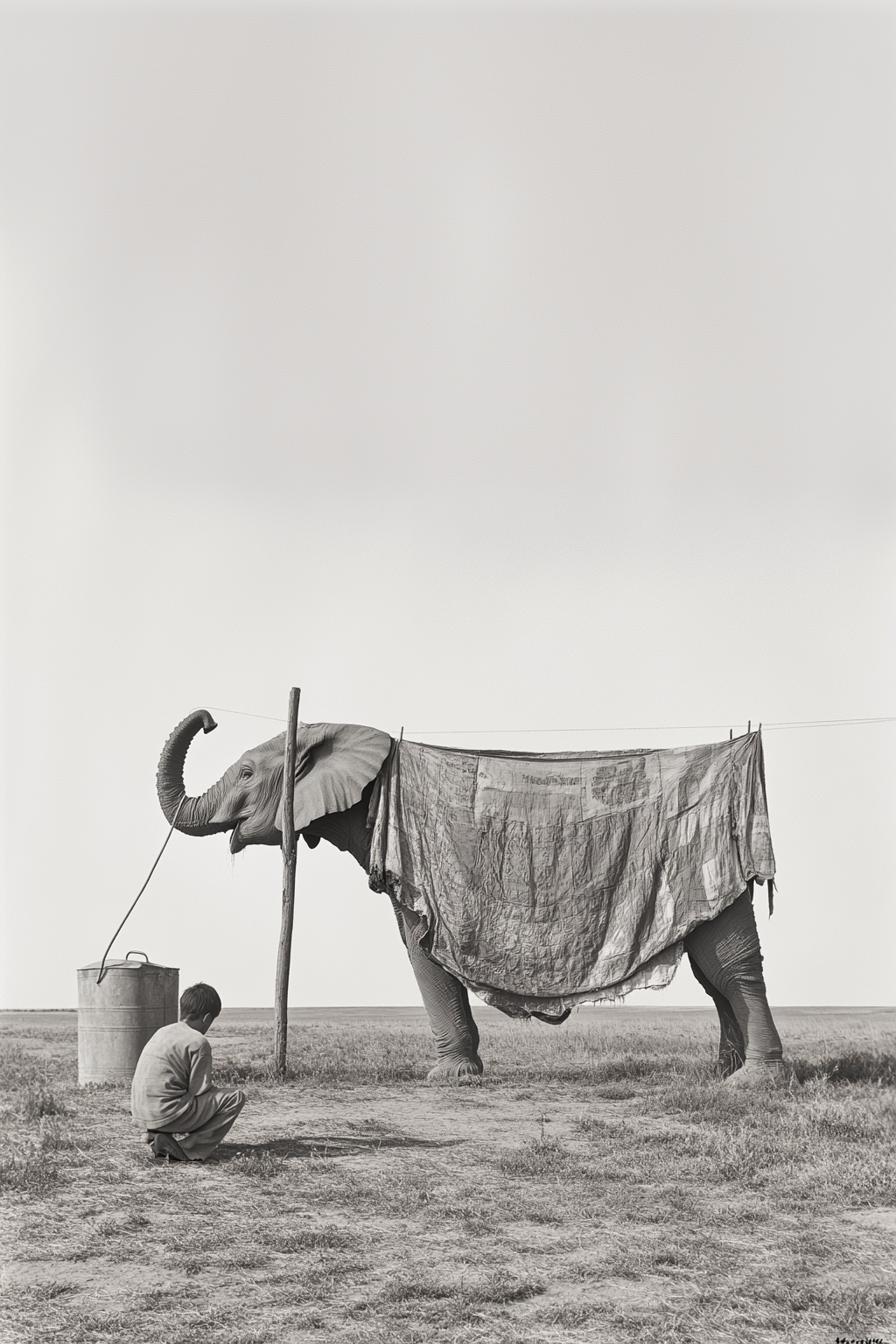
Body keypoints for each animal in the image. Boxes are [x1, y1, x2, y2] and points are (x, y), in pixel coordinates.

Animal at [157, 709, 789, 1086]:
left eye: (245, 773)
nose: (210, 719)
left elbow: (420, 950)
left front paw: (447, 1080)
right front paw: (462, 1075)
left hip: (709, 855)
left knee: (729, 964)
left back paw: (754, 1084)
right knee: (711, 971)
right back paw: (722, 1072)